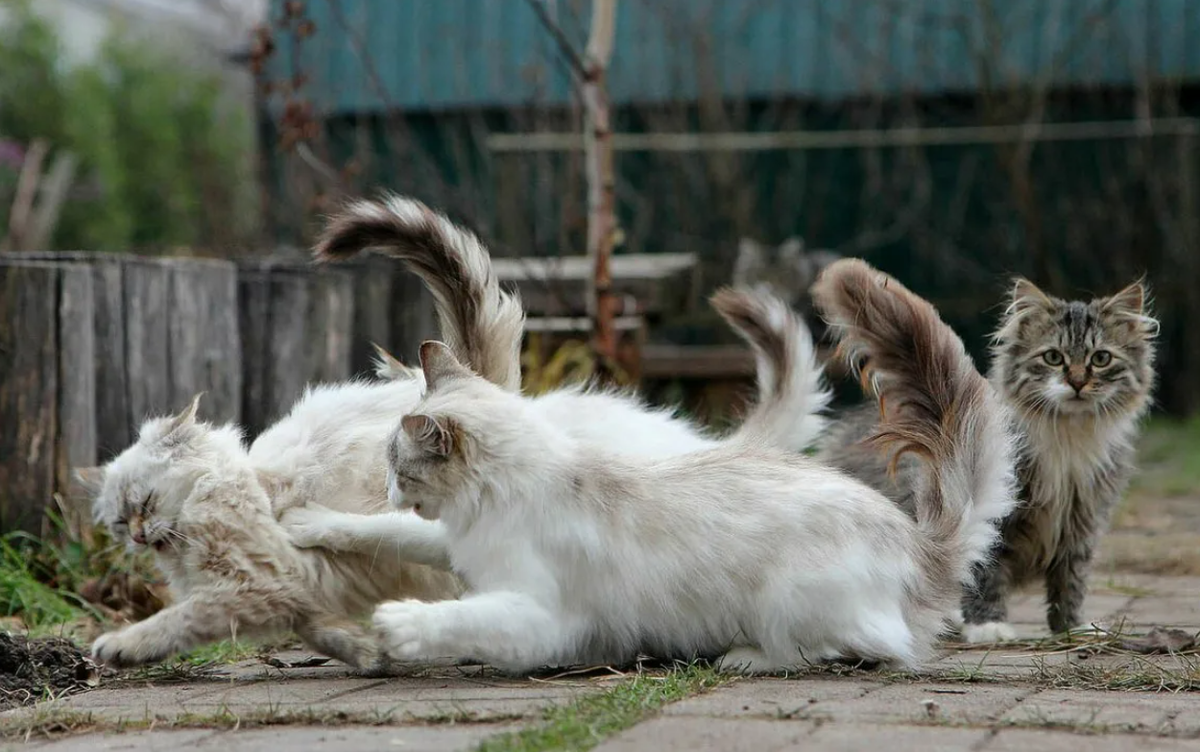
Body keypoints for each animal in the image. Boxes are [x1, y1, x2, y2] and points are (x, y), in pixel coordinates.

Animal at [369, 263, 1017, 671]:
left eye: (397, 464)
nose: (385, 487)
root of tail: (917, 541)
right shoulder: (456, 545)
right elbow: (388, 535)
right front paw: (341, 529)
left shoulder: (538, 616)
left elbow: (461, 616)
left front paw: (400, 624)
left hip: (787, 599)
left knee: (863, 649)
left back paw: (742, 658)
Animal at [820, 277, 1156, 642]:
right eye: (1053, 358)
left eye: (1101, 358)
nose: (1078, 382)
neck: (1067, 438)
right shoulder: (993, 516)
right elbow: (985, 572)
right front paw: (987, 625)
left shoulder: (1083, 521)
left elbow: (1071, 581)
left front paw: (1072, 627)